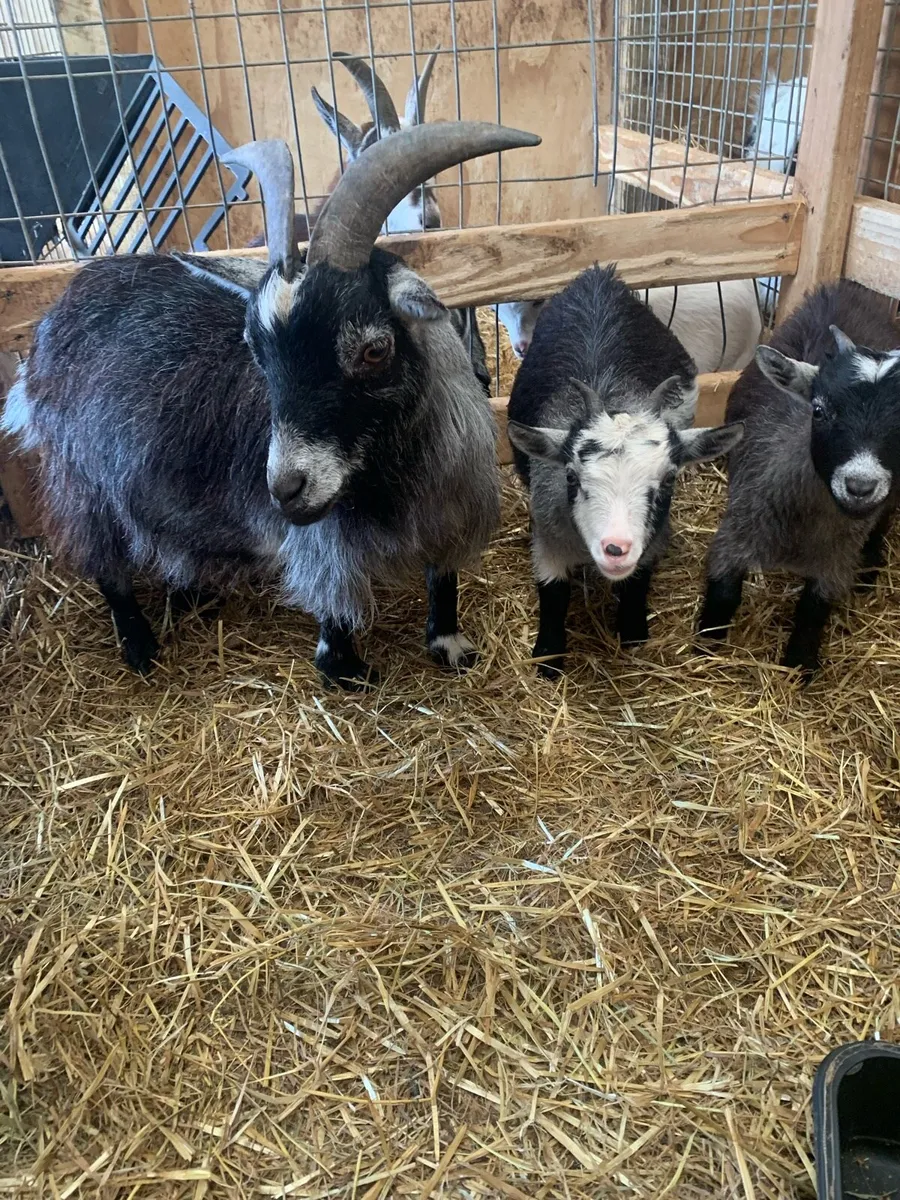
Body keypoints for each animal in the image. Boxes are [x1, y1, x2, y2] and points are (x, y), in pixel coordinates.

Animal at [4, 121, 539, 685]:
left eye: (374, 349)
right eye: (257, 351)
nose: (284, 489)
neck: (393, 474)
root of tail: (59, 305)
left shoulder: (451, 506)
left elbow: (443, 577)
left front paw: (447, 641)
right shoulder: (322, 544)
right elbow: (334, 614)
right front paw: (345, 666)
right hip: (82, 476)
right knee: (105, 563)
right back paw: (139, 644)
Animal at [506, 265, 743, 676]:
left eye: (669, 478)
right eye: (571, 476)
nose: (616, 549)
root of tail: (598, 277)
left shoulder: (653, 537)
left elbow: (637, 582)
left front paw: (633, 632)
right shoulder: (549, 534)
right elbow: (553, 593)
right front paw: (548, 657)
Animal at [698, 280, 900, 676]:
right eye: (818, 410)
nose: (860, 486)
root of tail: (845, 287)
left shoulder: (836, 558)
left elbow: (814, 609)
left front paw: (800, 664)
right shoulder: (738, 526)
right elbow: (725, 591)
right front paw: (707, 644)